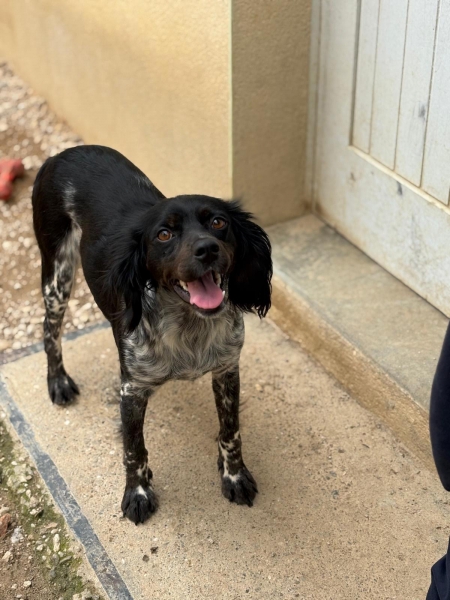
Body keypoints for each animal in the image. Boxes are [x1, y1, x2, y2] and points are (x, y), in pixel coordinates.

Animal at [32, 145, 272, 524]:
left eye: (218, 222)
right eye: (164, 234)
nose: (207, 249)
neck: (189, 326)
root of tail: (61, 154)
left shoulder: (226, 369)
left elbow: (230, 431)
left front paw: (234, 475)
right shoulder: (132, 389)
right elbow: (134, 448)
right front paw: (138, 492)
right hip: (58, 273)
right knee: (49, 330)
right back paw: (58, 381)